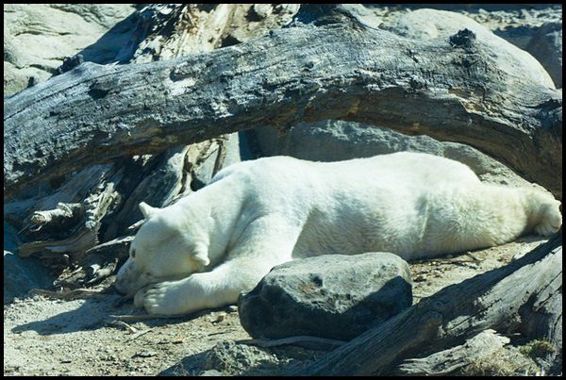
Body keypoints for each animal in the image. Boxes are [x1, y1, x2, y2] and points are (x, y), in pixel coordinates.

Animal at [115, 151, 564, 314]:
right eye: (133, 252)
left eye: (151, 270)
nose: (120, 285)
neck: (235, 187)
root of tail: (462, 168)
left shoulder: (275, 206)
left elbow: (250, 268)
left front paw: (155, 299)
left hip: (441, 212)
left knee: (484, 211)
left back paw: (547, 212)